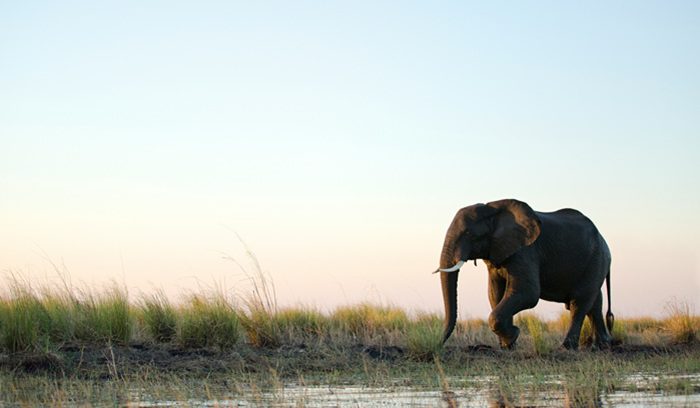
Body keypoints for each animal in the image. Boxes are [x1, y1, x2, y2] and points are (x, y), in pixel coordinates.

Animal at [434, 199, 614, 350]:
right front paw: (507, 346)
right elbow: (495, 294)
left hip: (597, 258)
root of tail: (604, 241)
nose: (439, 344)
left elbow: (527, 293)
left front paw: (513, 335)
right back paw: (602, 346)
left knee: (579, 302)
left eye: (469, 234)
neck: (493, 209)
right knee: (594, 302)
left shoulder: (526, 251)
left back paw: (567, 347)